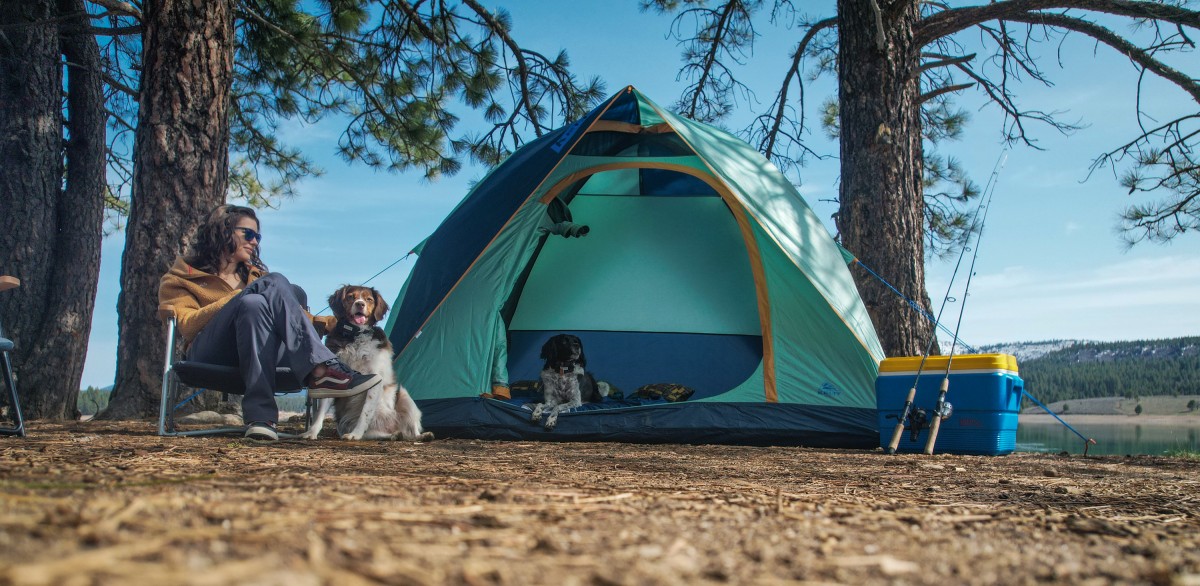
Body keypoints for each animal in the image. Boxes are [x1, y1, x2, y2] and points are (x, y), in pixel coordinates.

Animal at [302, 285, 434, 441]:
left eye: (369, 299)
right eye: (350, 297)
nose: (360, 304)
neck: (355, 335)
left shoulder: (375, 378)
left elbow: (365, 413)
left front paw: (355, 434)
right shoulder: (331, 380)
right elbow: (320, 411)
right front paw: (312, 432)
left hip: (404, 396)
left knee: (411, 431)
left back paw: (422, 436)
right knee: (383, 434)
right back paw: (394, 435)